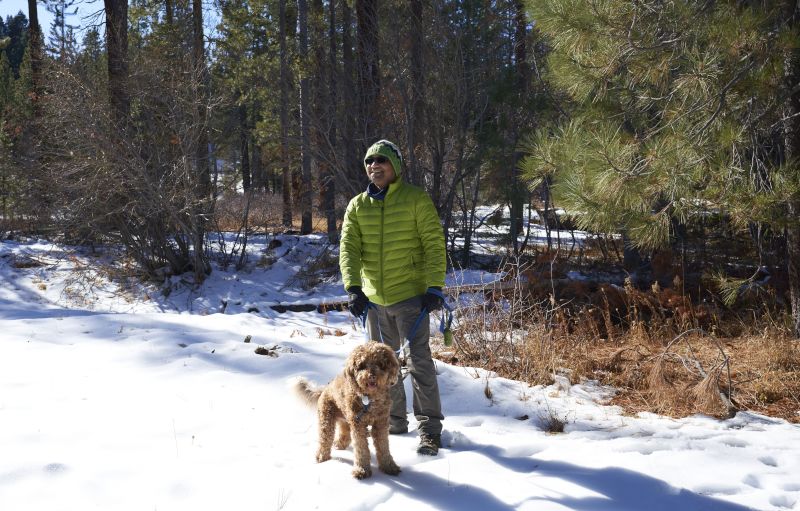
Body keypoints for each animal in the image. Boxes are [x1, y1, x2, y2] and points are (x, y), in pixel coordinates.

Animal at [296, 344, 404, 480]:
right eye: (362, 365)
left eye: (380, 363)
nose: (371, 376)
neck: (370, 400)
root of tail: (325, 389)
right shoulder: (358, 425)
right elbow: (361, 448)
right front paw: (361, 470)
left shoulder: (381, 423)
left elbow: (384, 446)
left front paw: (389, 467)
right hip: (327, 418)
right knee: (325, 439)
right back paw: (322, 457)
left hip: (346, 419)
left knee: (344, 433)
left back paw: (339, 444)